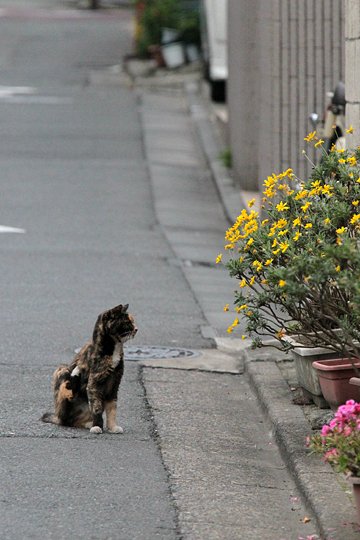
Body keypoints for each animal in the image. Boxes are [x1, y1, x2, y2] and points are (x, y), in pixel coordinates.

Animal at [41, 304, 138, 434]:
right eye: (127, 322)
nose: (136, 329)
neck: (114, 350)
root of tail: (57, 417)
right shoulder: (94, 384)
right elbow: (97, 408)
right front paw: (97, 426)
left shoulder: (114, 384)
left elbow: (112, 408)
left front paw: (112, 427)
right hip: (61, 369)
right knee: (67, 401)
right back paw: (75, 374)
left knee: (73, 422)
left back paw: (87, 424)